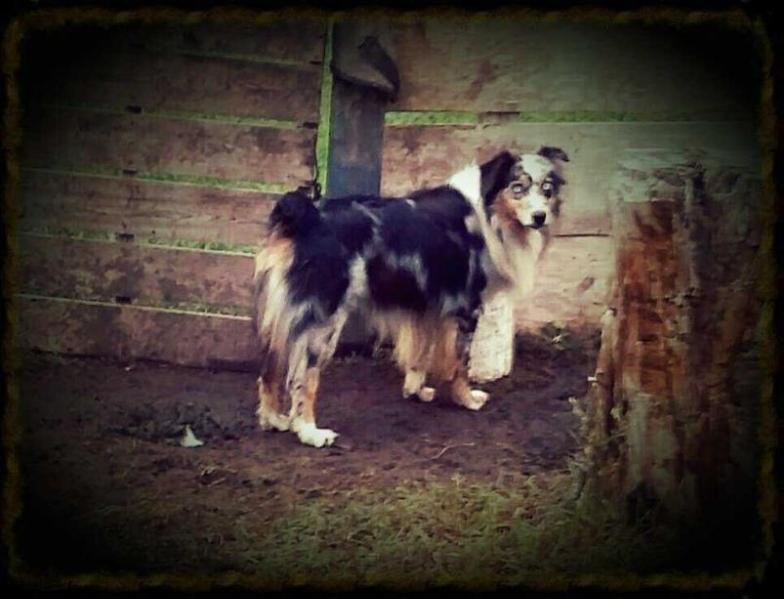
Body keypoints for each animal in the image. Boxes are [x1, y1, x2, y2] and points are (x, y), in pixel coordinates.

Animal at [254, 148, 568, 448]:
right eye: (518, 187)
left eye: (547, 190)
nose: (540, 217)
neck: (488, 213)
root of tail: (308, 215)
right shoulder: (467, 309)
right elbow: (460, 365)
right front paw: (466, 400)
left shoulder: (426, 306)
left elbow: (420, 355)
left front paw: (416, 391)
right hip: (324, 320)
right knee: (301, 378)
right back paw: (309, 431)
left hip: (283, 317)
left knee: (269, 369)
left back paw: (273, 420)